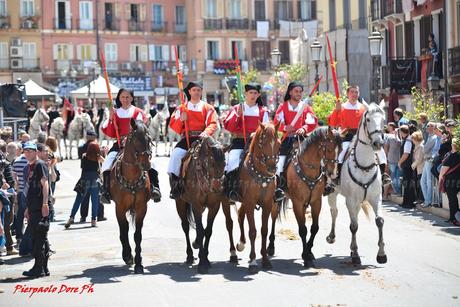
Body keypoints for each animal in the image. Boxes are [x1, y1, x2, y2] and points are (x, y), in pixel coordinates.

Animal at [110, 119, 152, 276]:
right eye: (136, 140)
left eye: (149, 140)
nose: (147, 164)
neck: (132, 177)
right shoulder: (119, 208)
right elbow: (124, 230)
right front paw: (128, 256)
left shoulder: (141, 208)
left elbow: (137, 235)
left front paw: (139, 263)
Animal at [175, 137, 226, 274]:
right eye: (211, 163)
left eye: (225, 164)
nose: (217, 187)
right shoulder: (196, 206)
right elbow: (200, 231)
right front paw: (202, 263)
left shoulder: (214, 206)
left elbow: (207, 231)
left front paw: (206, 258)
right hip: (180, 202)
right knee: (185, 226)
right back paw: (189, 255)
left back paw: (197, 244)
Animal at [228, 122, 282, 274]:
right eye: (262, 143)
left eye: (279, 144)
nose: (272, 168)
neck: (261, 174)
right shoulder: (250, 203)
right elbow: (252, 231)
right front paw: (252, 261)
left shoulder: (267, 204)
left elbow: (264, 230)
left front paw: (265, 259)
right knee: (229, 224)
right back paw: (233, 253)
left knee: (240, 216)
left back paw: (241, 243)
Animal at [266, 126, 342, 268]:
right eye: (329, 149)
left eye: (340, 150)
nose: (333, 174)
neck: (309, 169)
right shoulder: (297, 203)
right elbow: (303, 230)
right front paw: (306, 257)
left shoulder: (316, 202)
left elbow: (314, 228)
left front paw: (309, 252)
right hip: (275, 200)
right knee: (273, 217)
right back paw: (271, 247)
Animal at [326, 103, 386, 268]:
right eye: (368, 119)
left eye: (383, 120)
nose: (378, 143)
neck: (364, 166)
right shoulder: (351, 200)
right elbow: (353, 226)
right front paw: (356, 255)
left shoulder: (376, 198)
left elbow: (379, 221)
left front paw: (381, 254)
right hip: (333, 193)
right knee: (334, 212)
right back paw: (331, 236)